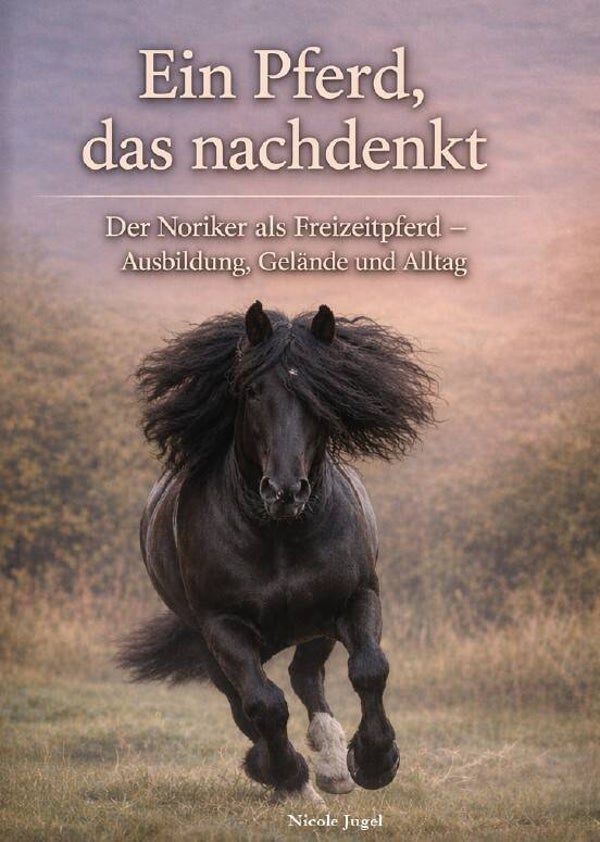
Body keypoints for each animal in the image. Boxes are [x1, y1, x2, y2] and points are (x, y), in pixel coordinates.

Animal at [118, 301, 434, 804]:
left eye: (321, 392)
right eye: (251, 391)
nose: (285, 490)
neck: (279, 537)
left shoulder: (356, 597)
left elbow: (369, 669)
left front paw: (374, 762)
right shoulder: (221, 625)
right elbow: (262, 705)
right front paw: (288, 777)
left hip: (316, 626)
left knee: (306, 676)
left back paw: (333, 766)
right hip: (213, 645)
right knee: (246, 702)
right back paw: (290, 775)